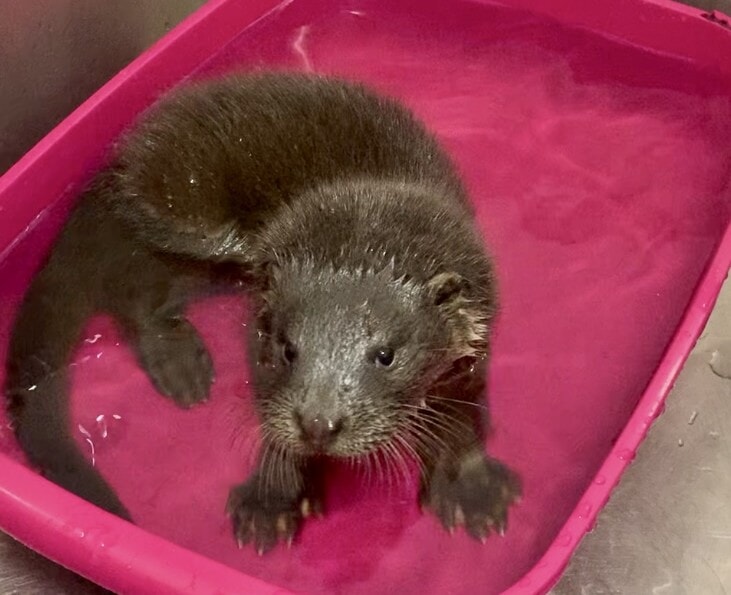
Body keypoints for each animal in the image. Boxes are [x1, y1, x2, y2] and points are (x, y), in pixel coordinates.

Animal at [5, 71, 520, 553]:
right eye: (288, 349)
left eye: (386, 355)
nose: (318, 422)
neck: (367, 229)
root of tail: (116, 164)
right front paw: (272, 500)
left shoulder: (476, 335)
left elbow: (461, 416)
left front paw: (472, 491)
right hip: (185, 222)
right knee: (132, 293)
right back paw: (182, 366)